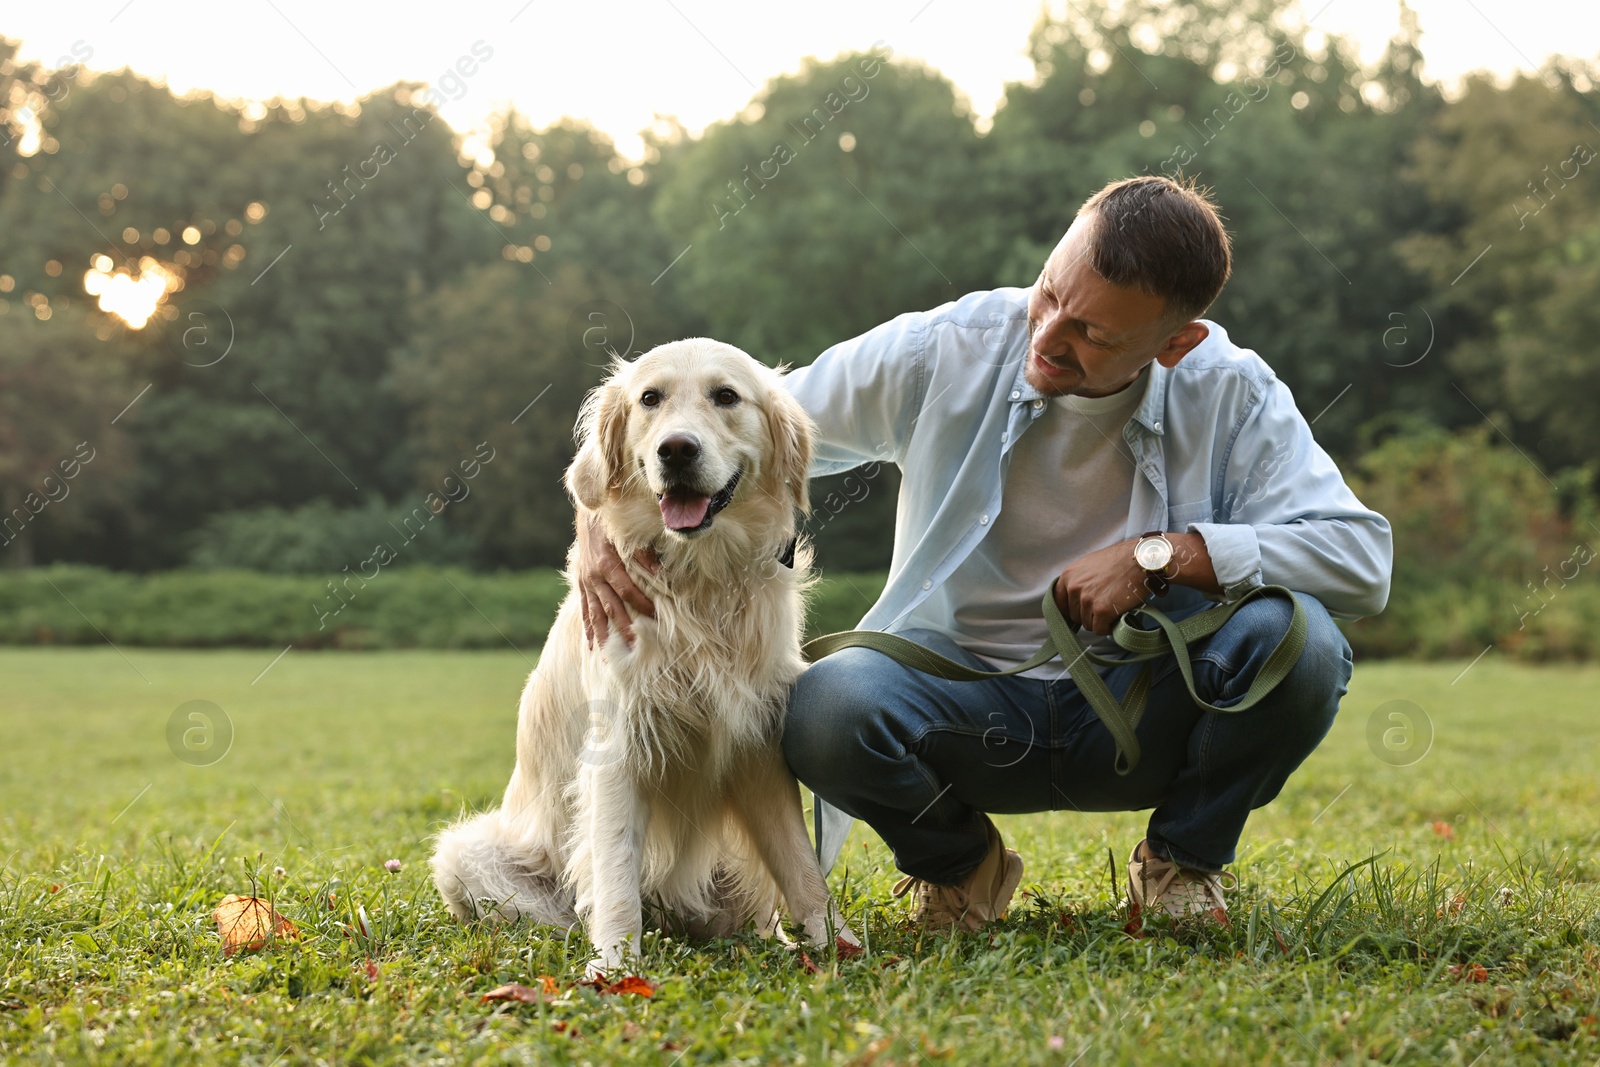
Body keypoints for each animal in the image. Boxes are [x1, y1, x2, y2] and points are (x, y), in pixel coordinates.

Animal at [422, 337, 851, 972]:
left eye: (726, 396)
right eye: (650, 399)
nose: (676, 450)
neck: (699, 583)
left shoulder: (755, 741)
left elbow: (799, 864)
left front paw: (839, 945)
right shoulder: (618, 748)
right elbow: (616, 875)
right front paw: (616, 969)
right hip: (465, 855)